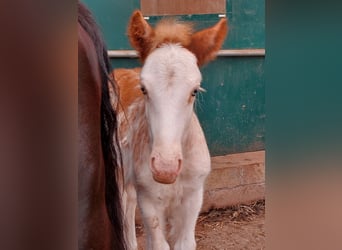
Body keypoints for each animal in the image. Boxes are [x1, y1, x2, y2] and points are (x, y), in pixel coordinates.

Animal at [113, 11, 228, 250]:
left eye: (194, 91)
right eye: (143, 89)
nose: (165, 168)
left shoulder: (193, 196)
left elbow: (186, 243)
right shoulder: (148, 199)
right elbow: (159, 244)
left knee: (128, 200)